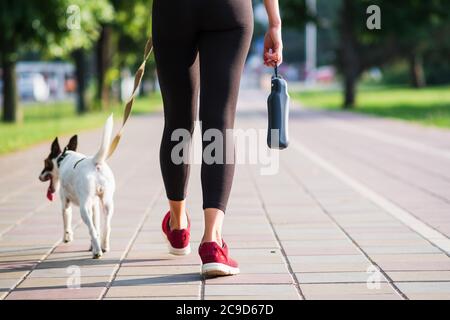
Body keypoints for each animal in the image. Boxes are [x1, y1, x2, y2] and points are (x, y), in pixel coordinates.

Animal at [39, 115, 116, 258]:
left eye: (45, 163)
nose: (39, 177)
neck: (63, 157)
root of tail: (94, 163)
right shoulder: (94, 206)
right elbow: (97, 226)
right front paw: (92, 245)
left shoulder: (65, 203)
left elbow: (66, 222)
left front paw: (67, 237)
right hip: (107, 204)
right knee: (105, 227)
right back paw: (103, 246)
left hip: (83, 208)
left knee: (91, 229)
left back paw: (97, 252)